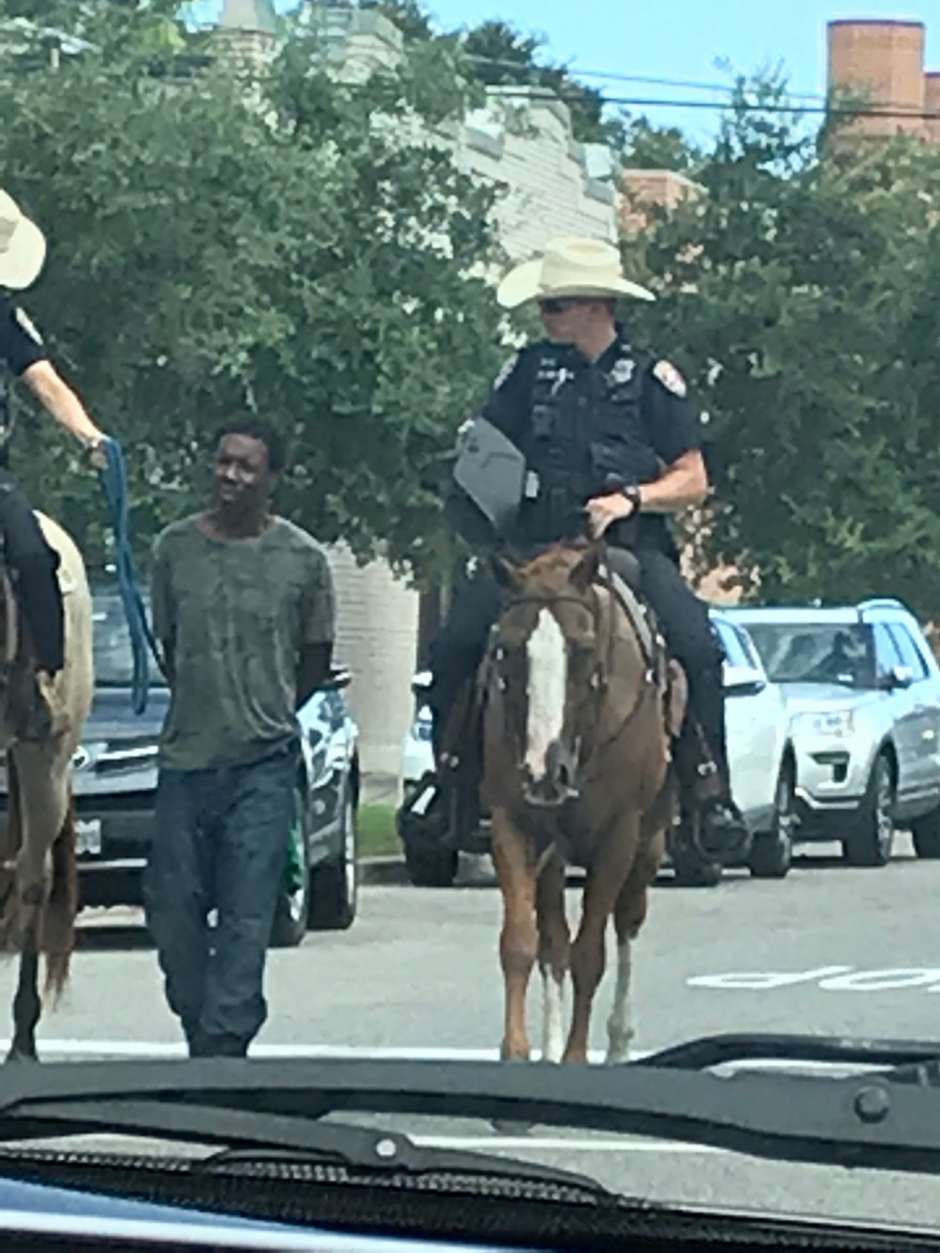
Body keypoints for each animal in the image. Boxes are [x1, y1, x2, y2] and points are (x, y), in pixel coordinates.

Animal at [481, 538, 686, 1067]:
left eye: (584, 647)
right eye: (507, 649)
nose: (543, 771)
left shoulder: (619, 833)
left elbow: (590, 953)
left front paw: (576, 1057)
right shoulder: (512, 824)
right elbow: (521, 942)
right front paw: (518, 1051)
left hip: (649, 843)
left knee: (626, 924)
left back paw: (617, 1042)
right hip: (555, 854)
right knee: (553, 940)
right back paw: (551, 1045)